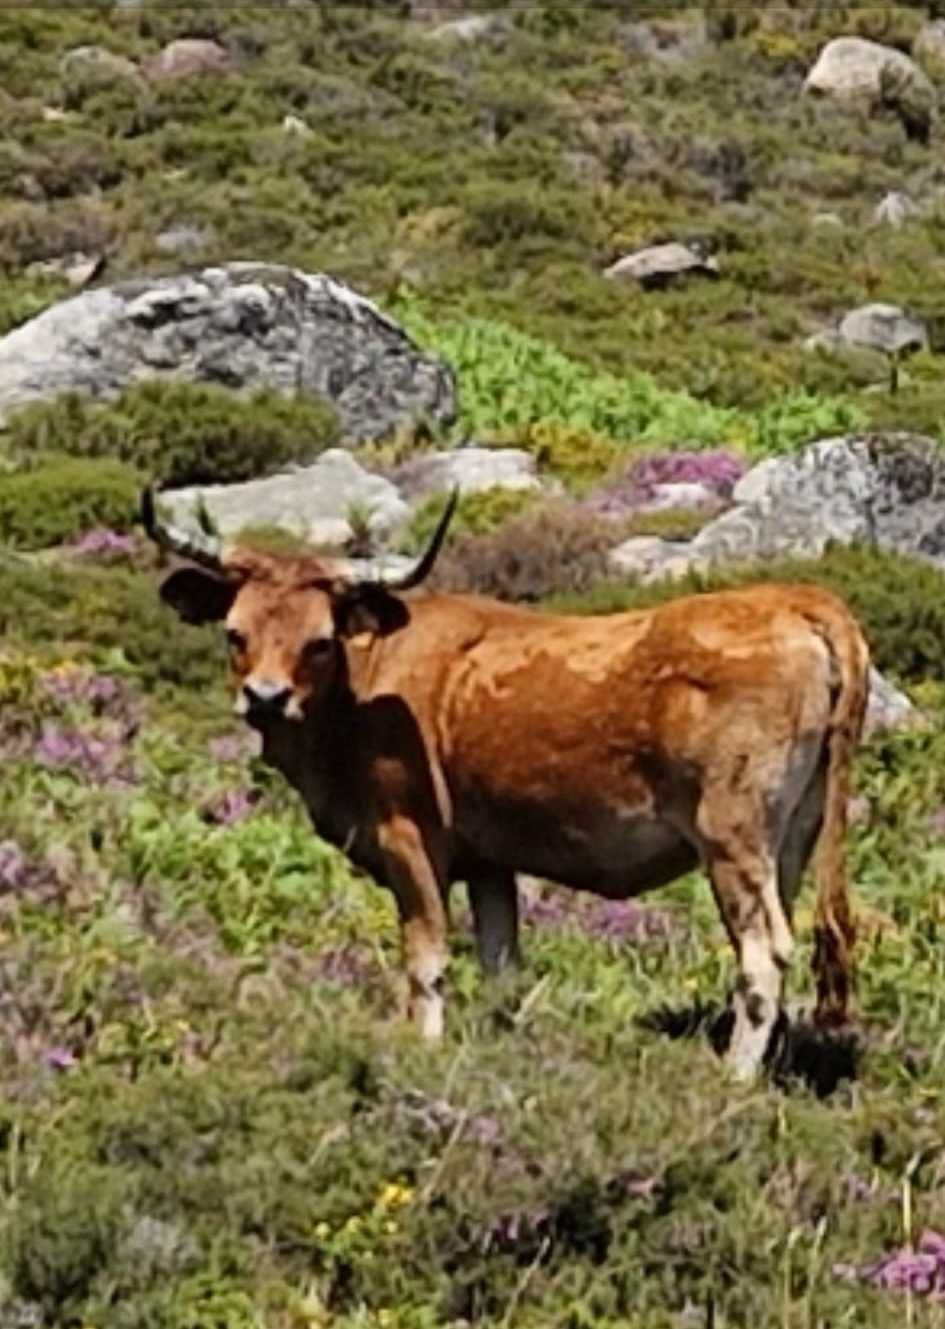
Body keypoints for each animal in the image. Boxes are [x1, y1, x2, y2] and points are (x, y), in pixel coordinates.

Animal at [142, 489, 871, 1079]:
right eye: (235, 632)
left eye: (319, 640)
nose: (264, 698)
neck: (368, 686)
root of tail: (797, 599)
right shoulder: (490, 862)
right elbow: (501, 970)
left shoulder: (410, 838)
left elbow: (426, 960)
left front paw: (424, 1050)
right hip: (791, 841)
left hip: (731, 839)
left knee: (763, 957)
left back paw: (732, 1079)